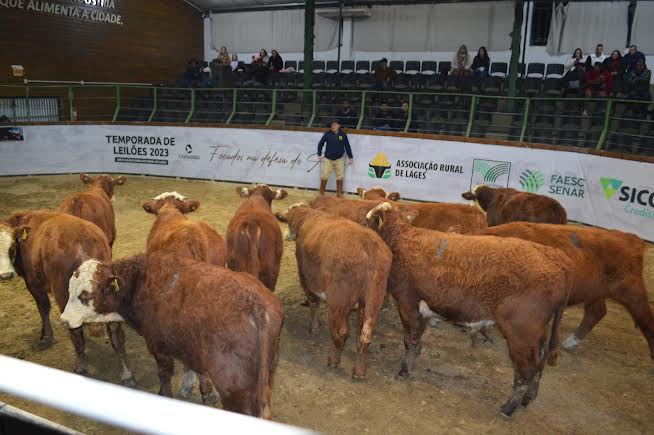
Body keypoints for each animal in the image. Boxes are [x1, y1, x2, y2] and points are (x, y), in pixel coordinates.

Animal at [61, 252, 284, 418]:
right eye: (69, 291)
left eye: (84, 295)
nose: (64, 319)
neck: (141, 281)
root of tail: (255, 303)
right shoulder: (190, 346)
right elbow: (196, 370)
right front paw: (201, 391)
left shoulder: (158, 345)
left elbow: (165, 374)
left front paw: (165, 394)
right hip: (265, 376)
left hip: (235, 388)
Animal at [476, 223, 654, 360]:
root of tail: (631, 238)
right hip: (594, 293)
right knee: (596, 312)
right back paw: (571, 342)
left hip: (632, 293)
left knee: (646, 320)